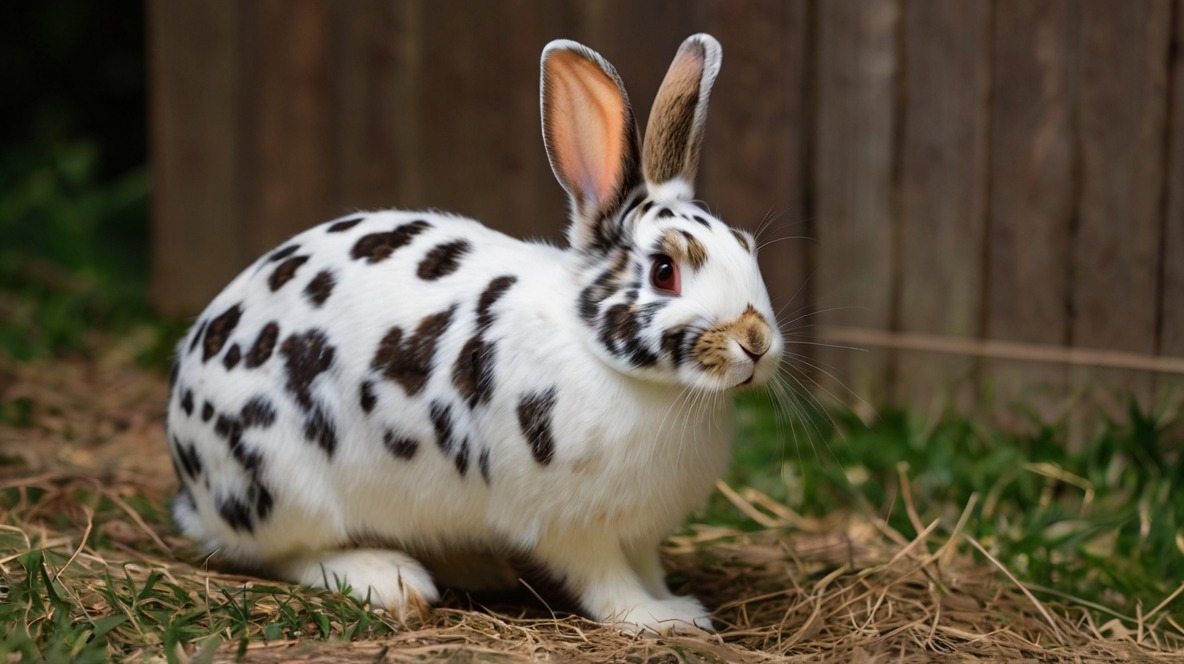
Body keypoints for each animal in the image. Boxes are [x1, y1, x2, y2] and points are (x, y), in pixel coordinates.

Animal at [164, 32, 776, 629]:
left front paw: (676, 604)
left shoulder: (640, 532)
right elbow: (608, 582)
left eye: (746, 246)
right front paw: (658, 618)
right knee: (283, 552)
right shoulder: (571, 527)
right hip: (283, 484)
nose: (756, 342)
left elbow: (647, 566)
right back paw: (390, 579)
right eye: (664, 271)